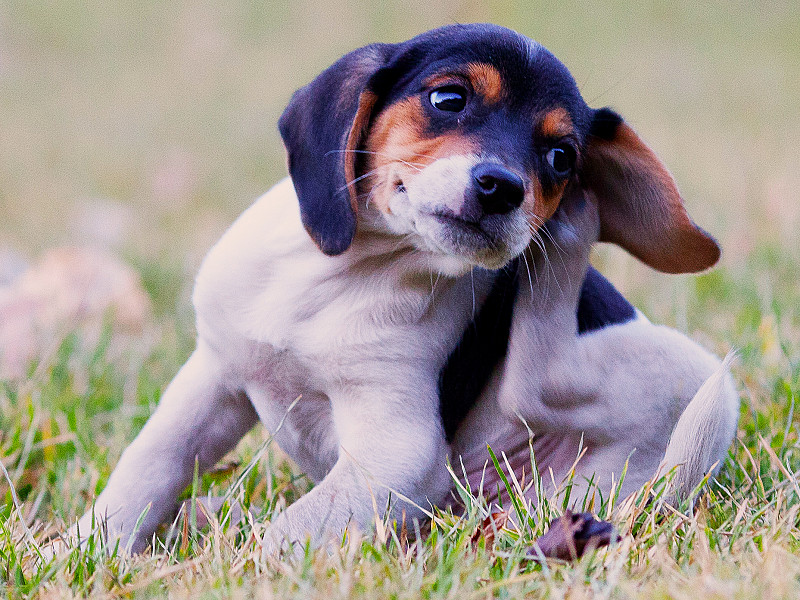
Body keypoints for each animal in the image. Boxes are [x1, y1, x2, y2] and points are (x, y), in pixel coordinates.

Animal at [67, 24, 736, 556]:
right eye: (449, 98)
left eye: (562, 157)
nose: (503, 188)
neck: (342, 279)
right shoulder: (213, 377)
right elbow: (147, 470)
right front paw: (85, 548)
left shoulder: (398, 451)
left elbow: (291, 530)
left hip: (683, 379)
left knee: (536, 377)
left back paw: (570, 236)